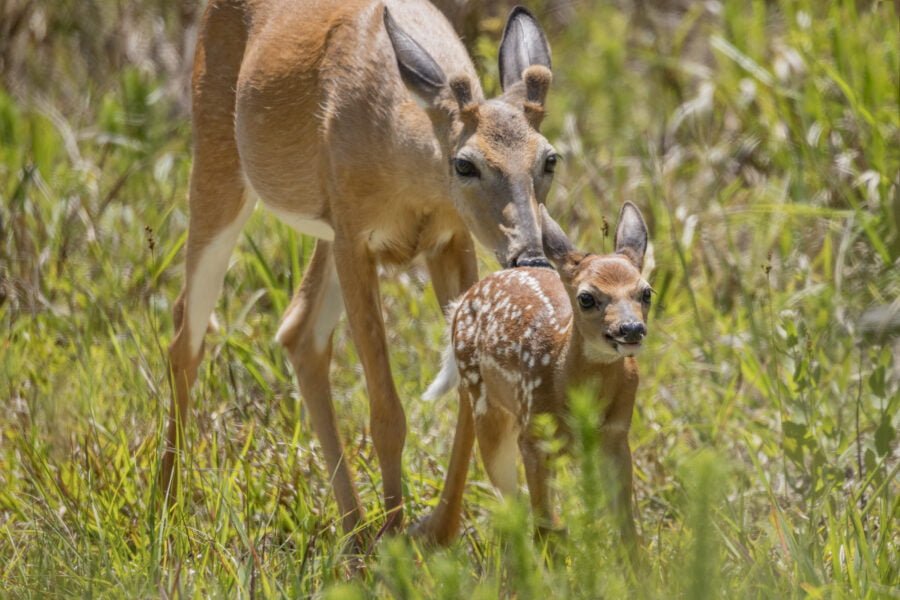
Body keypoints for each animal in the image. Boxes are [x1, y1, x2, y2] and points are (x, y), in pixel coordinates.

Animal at [158, 0, 560, 544]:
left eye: (550, 160)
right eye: (465, 164)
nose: (531, 255)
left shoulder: (449, 239)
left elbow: (464, 396)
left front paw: (438, 529)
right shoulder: (356, 237)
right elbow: (386, 409)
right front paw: (396, 533)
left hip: (324, 233)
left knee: (298, 332)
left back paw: (353, 530)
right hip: (218, 161)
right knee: (186, 332)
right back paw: (167, 508)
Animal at [412, 203, 652, 548]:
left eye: (646, 292)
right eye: (586, 297)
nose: (631, 329)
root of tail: (461, 302)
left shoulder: (617, 437)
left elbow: (626, 529)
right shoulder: (534, 439)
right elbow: (542, 524)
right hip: (488, 408)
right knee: (513, 507)